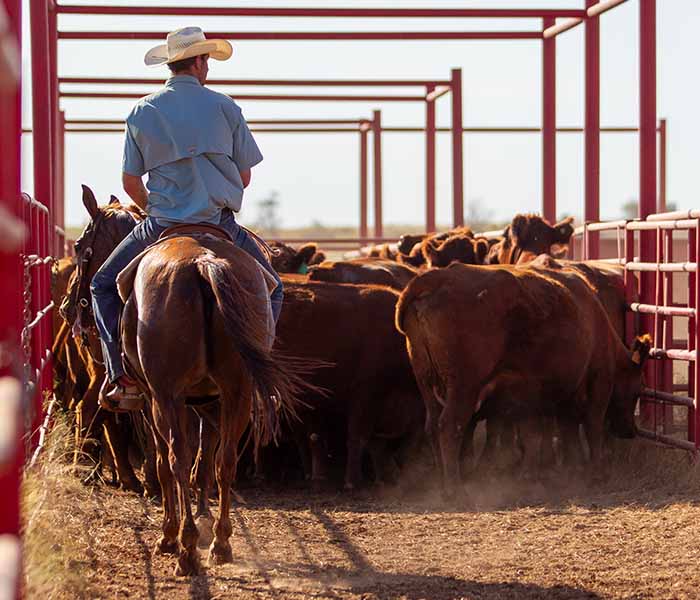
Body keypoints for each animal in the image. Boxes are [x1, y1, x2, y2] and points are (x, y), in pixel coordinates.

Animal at [69, 184, 308, 576]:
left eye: (78, 246)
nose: (68, 308)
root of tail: (203, 264)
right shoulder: (209, 401)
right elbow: (206, 461)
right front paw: (205, 520)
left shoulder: (154, 400)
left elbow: (166, 463)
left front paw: (173, 532)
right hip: (237, 393)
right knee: (226, 460)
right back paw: (221, 545)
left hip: (167, 396)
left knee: (175, 457)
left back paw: (184, 547)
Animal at [396, 264, 652, 496]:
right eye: (637, 391)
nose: (630, 431)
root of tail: (439, 277)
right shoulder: (599, 382)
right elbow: (591, 427)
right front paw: (595, 473)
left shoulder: (533, 395)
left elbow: (547, 433)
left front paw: (563, 471)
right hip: (463, 388)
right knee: (450, 426)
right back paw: (454, 489)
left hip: (427, 383)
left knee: (432, 426)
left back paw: (441, 482)